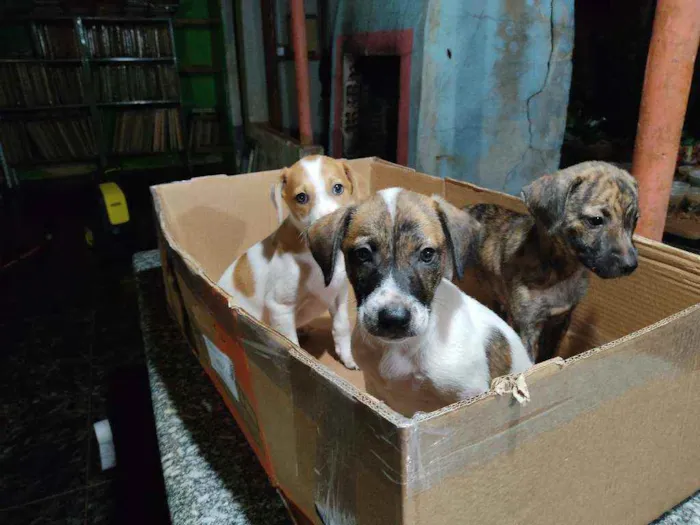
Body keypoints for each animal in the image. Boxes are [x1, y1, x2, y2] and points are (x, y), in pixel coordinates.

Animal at [216, 155, 358, 368]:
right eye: (301, 197)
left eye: (338, 188)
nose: (326, 230)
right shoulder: (280, 308)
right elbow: (293, 345)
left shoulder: (339, 295)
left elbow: (341, 327)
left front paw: (347, 358)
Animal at [306, 186, 532, 416]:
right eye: (362, 254)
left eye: (427, 254)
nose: (393, 319)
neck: (402, 348)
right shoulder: (376, 390)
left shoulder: (470, 396)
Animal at [464, 162, 640, 362]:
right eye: (595, 220)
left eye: (635, 220)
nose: (631, 266)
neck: (561, 271)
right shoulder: (528, 327)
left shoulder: (561, 320)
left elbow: (549, 354)